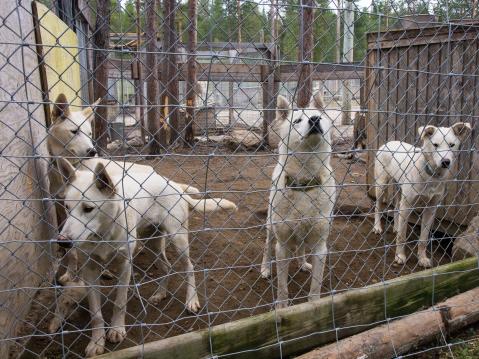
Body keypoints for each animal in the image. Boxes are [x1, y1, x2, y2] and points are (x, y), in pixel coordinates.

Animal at [260, 93, 336, 310]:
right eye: (297, 121)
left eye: (318, 116)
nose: (315, 120)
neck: (304, 182)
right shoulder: (282, 247)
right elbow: (282, 286)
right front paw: (281, 307)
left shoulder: (320, 248)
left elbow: (315, 287)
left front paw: (314, 305)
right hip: (270, 226)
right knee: (267, 247)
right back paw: (265, 268)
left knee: (301, 248)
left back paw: (303, 264)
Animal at [376, 123, 472, 268]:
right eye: (435, 145)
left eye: (452, 145)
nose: (445, 161)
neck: (431, 175)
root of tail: (388, 143)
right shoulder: (407, 205)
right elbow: (402, 237)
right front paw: (400, 256)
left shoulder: (431, 209)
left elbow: (423, 238)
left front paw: (422, 258)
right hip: (381, 186)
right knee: (377, 206)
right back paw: (377, 227)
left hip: (399, 189)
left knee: (397, 206)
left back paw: (397, 227)